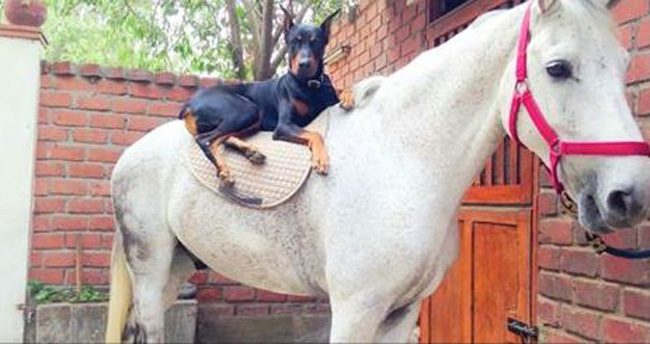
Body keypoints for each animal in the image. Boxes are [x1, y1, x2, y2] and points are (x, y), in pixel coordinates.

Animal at [104, 1, 644, 342]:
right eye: (557, 68)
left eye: (624, 64)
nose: (628, 195)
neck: (403, 157)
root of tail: (132, 155)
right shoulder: (355, 310)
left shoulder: (402, 312)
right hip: (150, 267)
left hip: (174, 270)